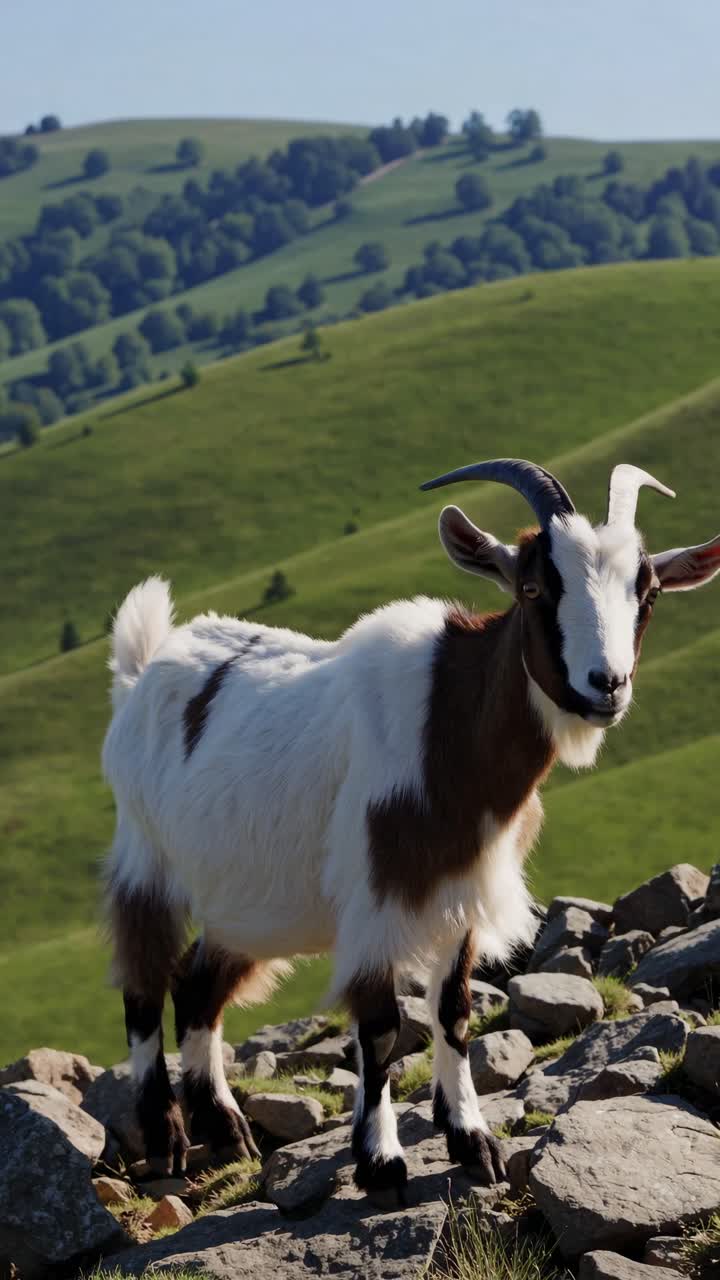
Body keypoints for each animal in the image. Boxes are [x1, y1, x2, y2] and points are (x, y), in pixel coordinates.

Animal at [102, 458, 720, 1199]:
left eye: (647, 594)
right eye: (535, 587)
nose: (607, 684)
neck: (448, 721)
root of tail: (142, 670)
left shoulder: (463, 890)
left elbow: (452, 1014)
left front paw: (471, 1140)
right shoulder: (377, 894)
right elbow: (380, 1029)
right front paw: (380, 1161)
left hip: (250, 897)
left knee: (197, 990)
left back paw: (226, 1129)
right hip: (146, 856)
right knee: (144, 985)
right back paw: (167, 1136)